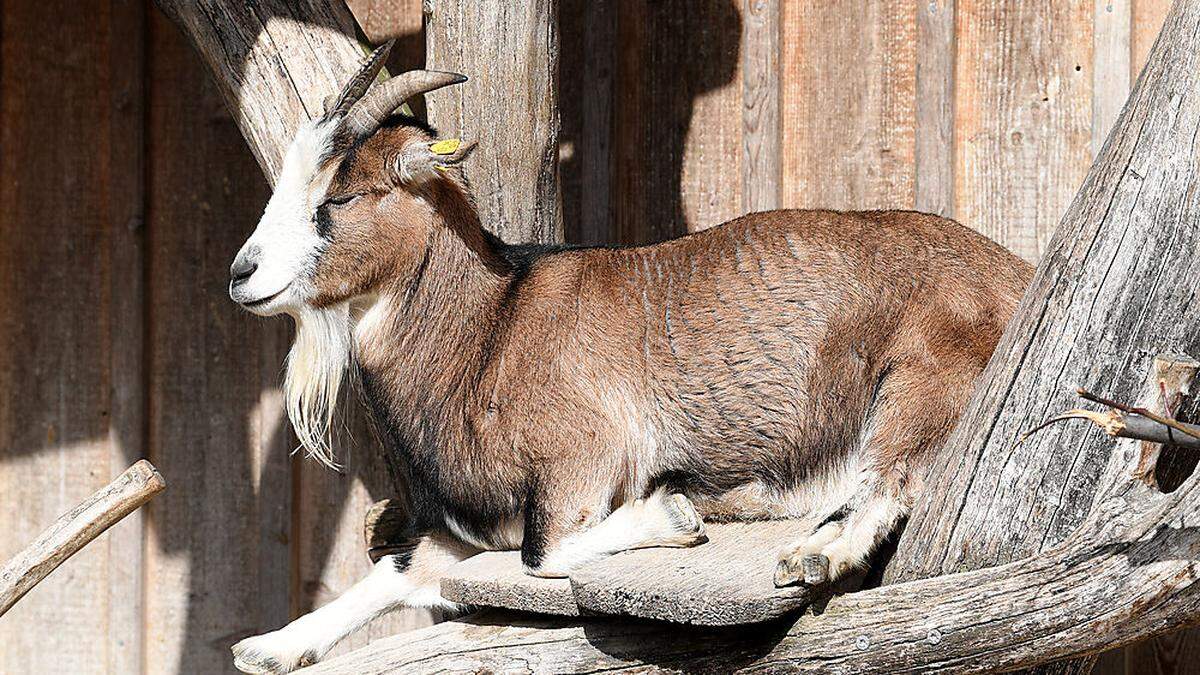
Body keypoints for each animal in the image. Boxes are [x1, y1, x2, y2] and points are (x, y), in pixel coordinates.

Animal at [225, 44, 1032, 667]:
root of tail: (1014, 272)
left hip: (922, 378)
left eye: (340, 197)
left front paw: (671, 513)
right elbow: (400, 568)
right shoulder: (467, 530)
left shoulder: (586, 457)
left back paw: (814, 554)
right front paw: (270, 645)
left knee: (896, 479)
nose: (243, 275)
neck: (489, 330)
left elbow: (543, 555)